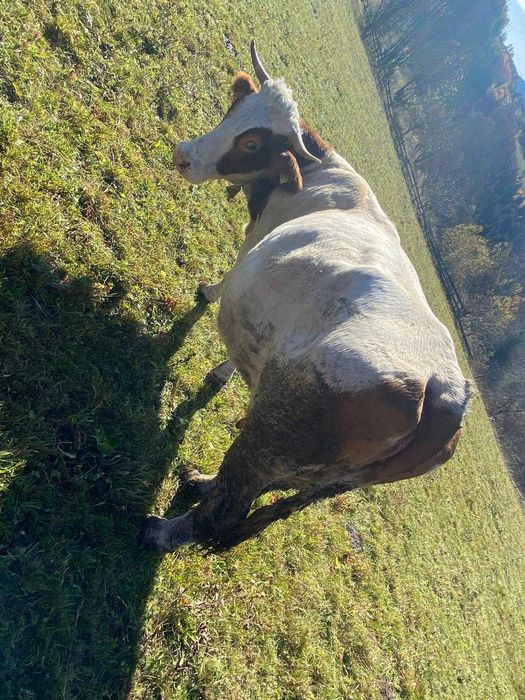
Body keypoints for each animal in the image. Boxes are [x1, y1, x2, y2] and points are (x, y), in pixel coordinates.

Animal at [141, 41, 472, 553]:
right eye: (236, 110)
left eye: (252, 144)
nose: (183, 155)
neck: (321, 174)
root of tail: (443, 390)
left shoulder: (258, 235)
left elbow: (231, 273)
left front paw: (209, 296)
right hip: (323, 480)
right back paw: (201, 482)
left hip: (271, 434)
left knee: (225, 510)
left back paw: (160, 529)